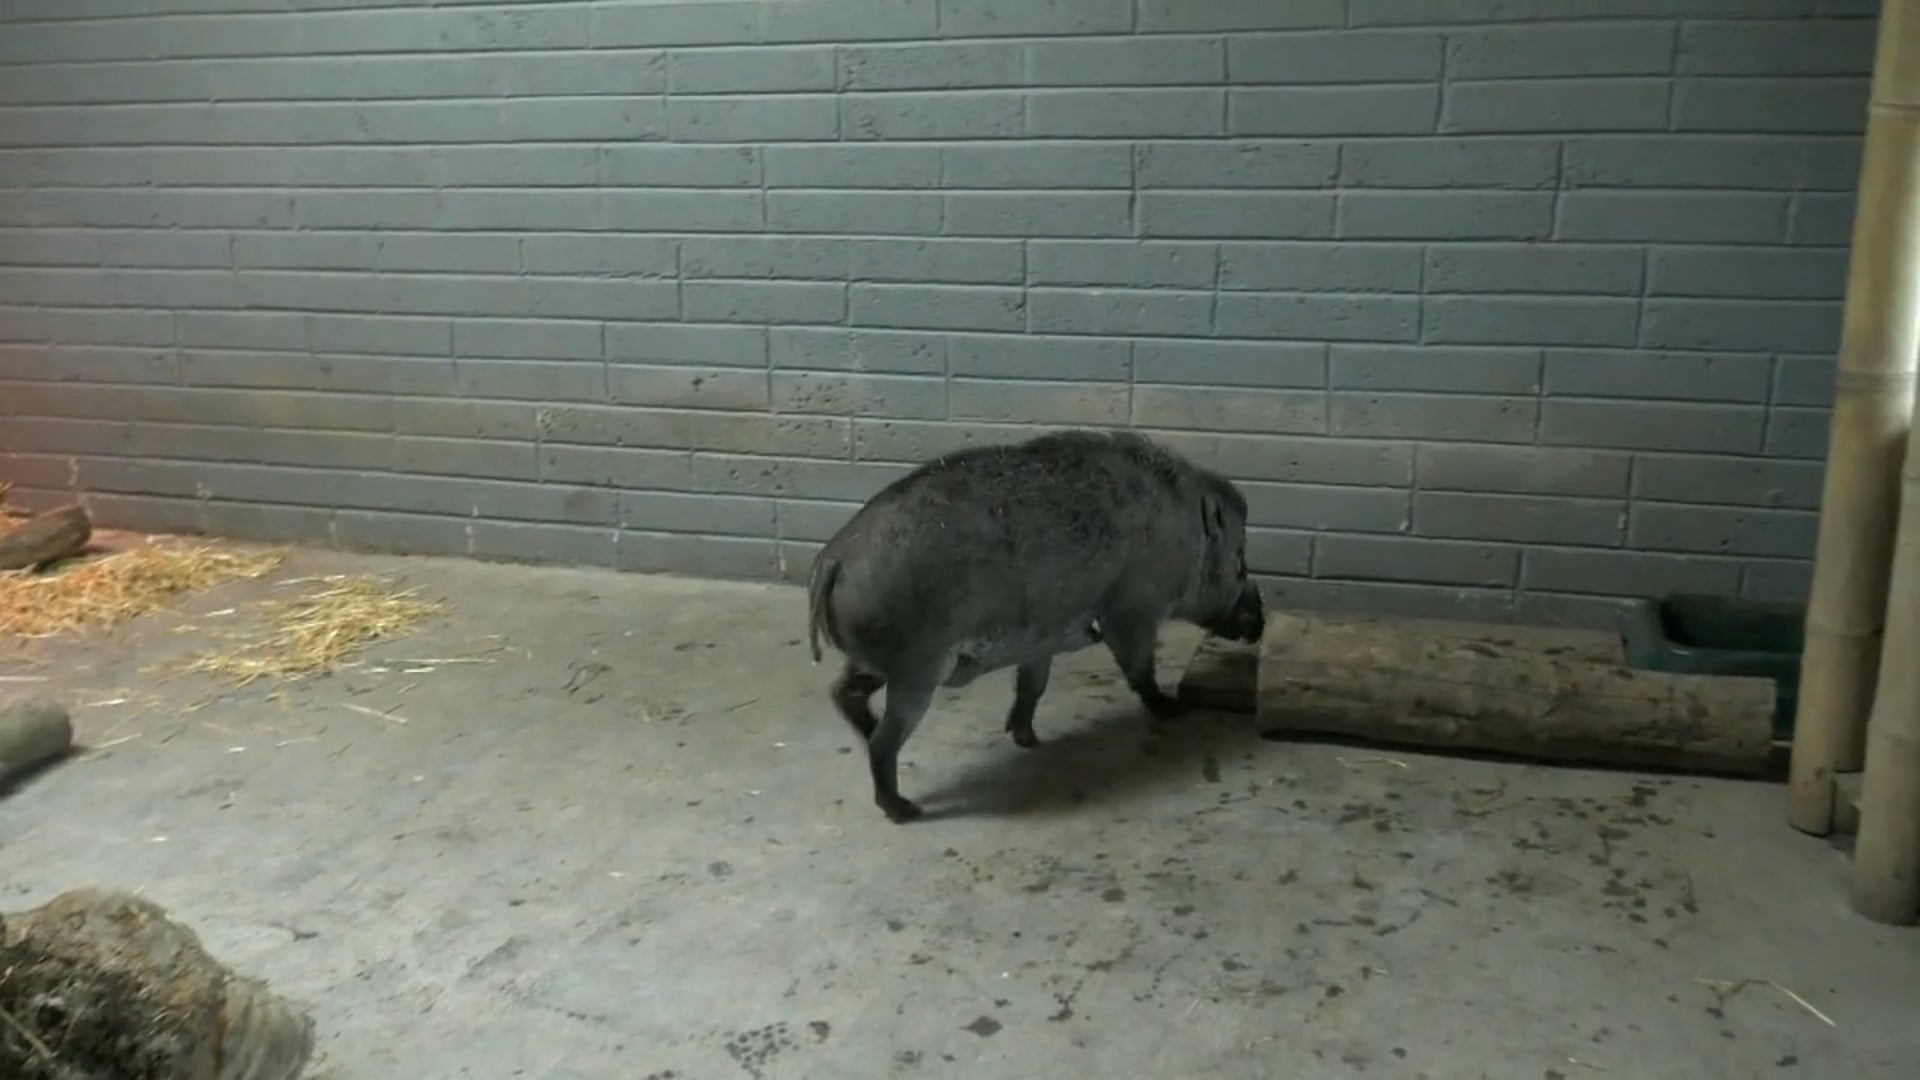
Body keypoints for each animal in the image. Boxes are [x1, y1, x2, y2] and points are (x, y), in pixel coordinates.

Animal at [804, 429, 1266, 824]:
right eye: (1240, 565)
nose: (1260, 622)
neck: (1183, 532)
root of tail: (833, 559)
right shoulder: (1132, 611)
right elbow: (1139, 668)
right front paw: (1172, 708)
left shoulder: (1041, 642)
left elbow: (1033, 687)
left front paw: (1029, 740)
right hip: (917, 671)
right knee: (883, 741)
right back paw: (904, 809)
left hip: (880, 663)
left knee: (842, 692)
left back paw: (868, 734)